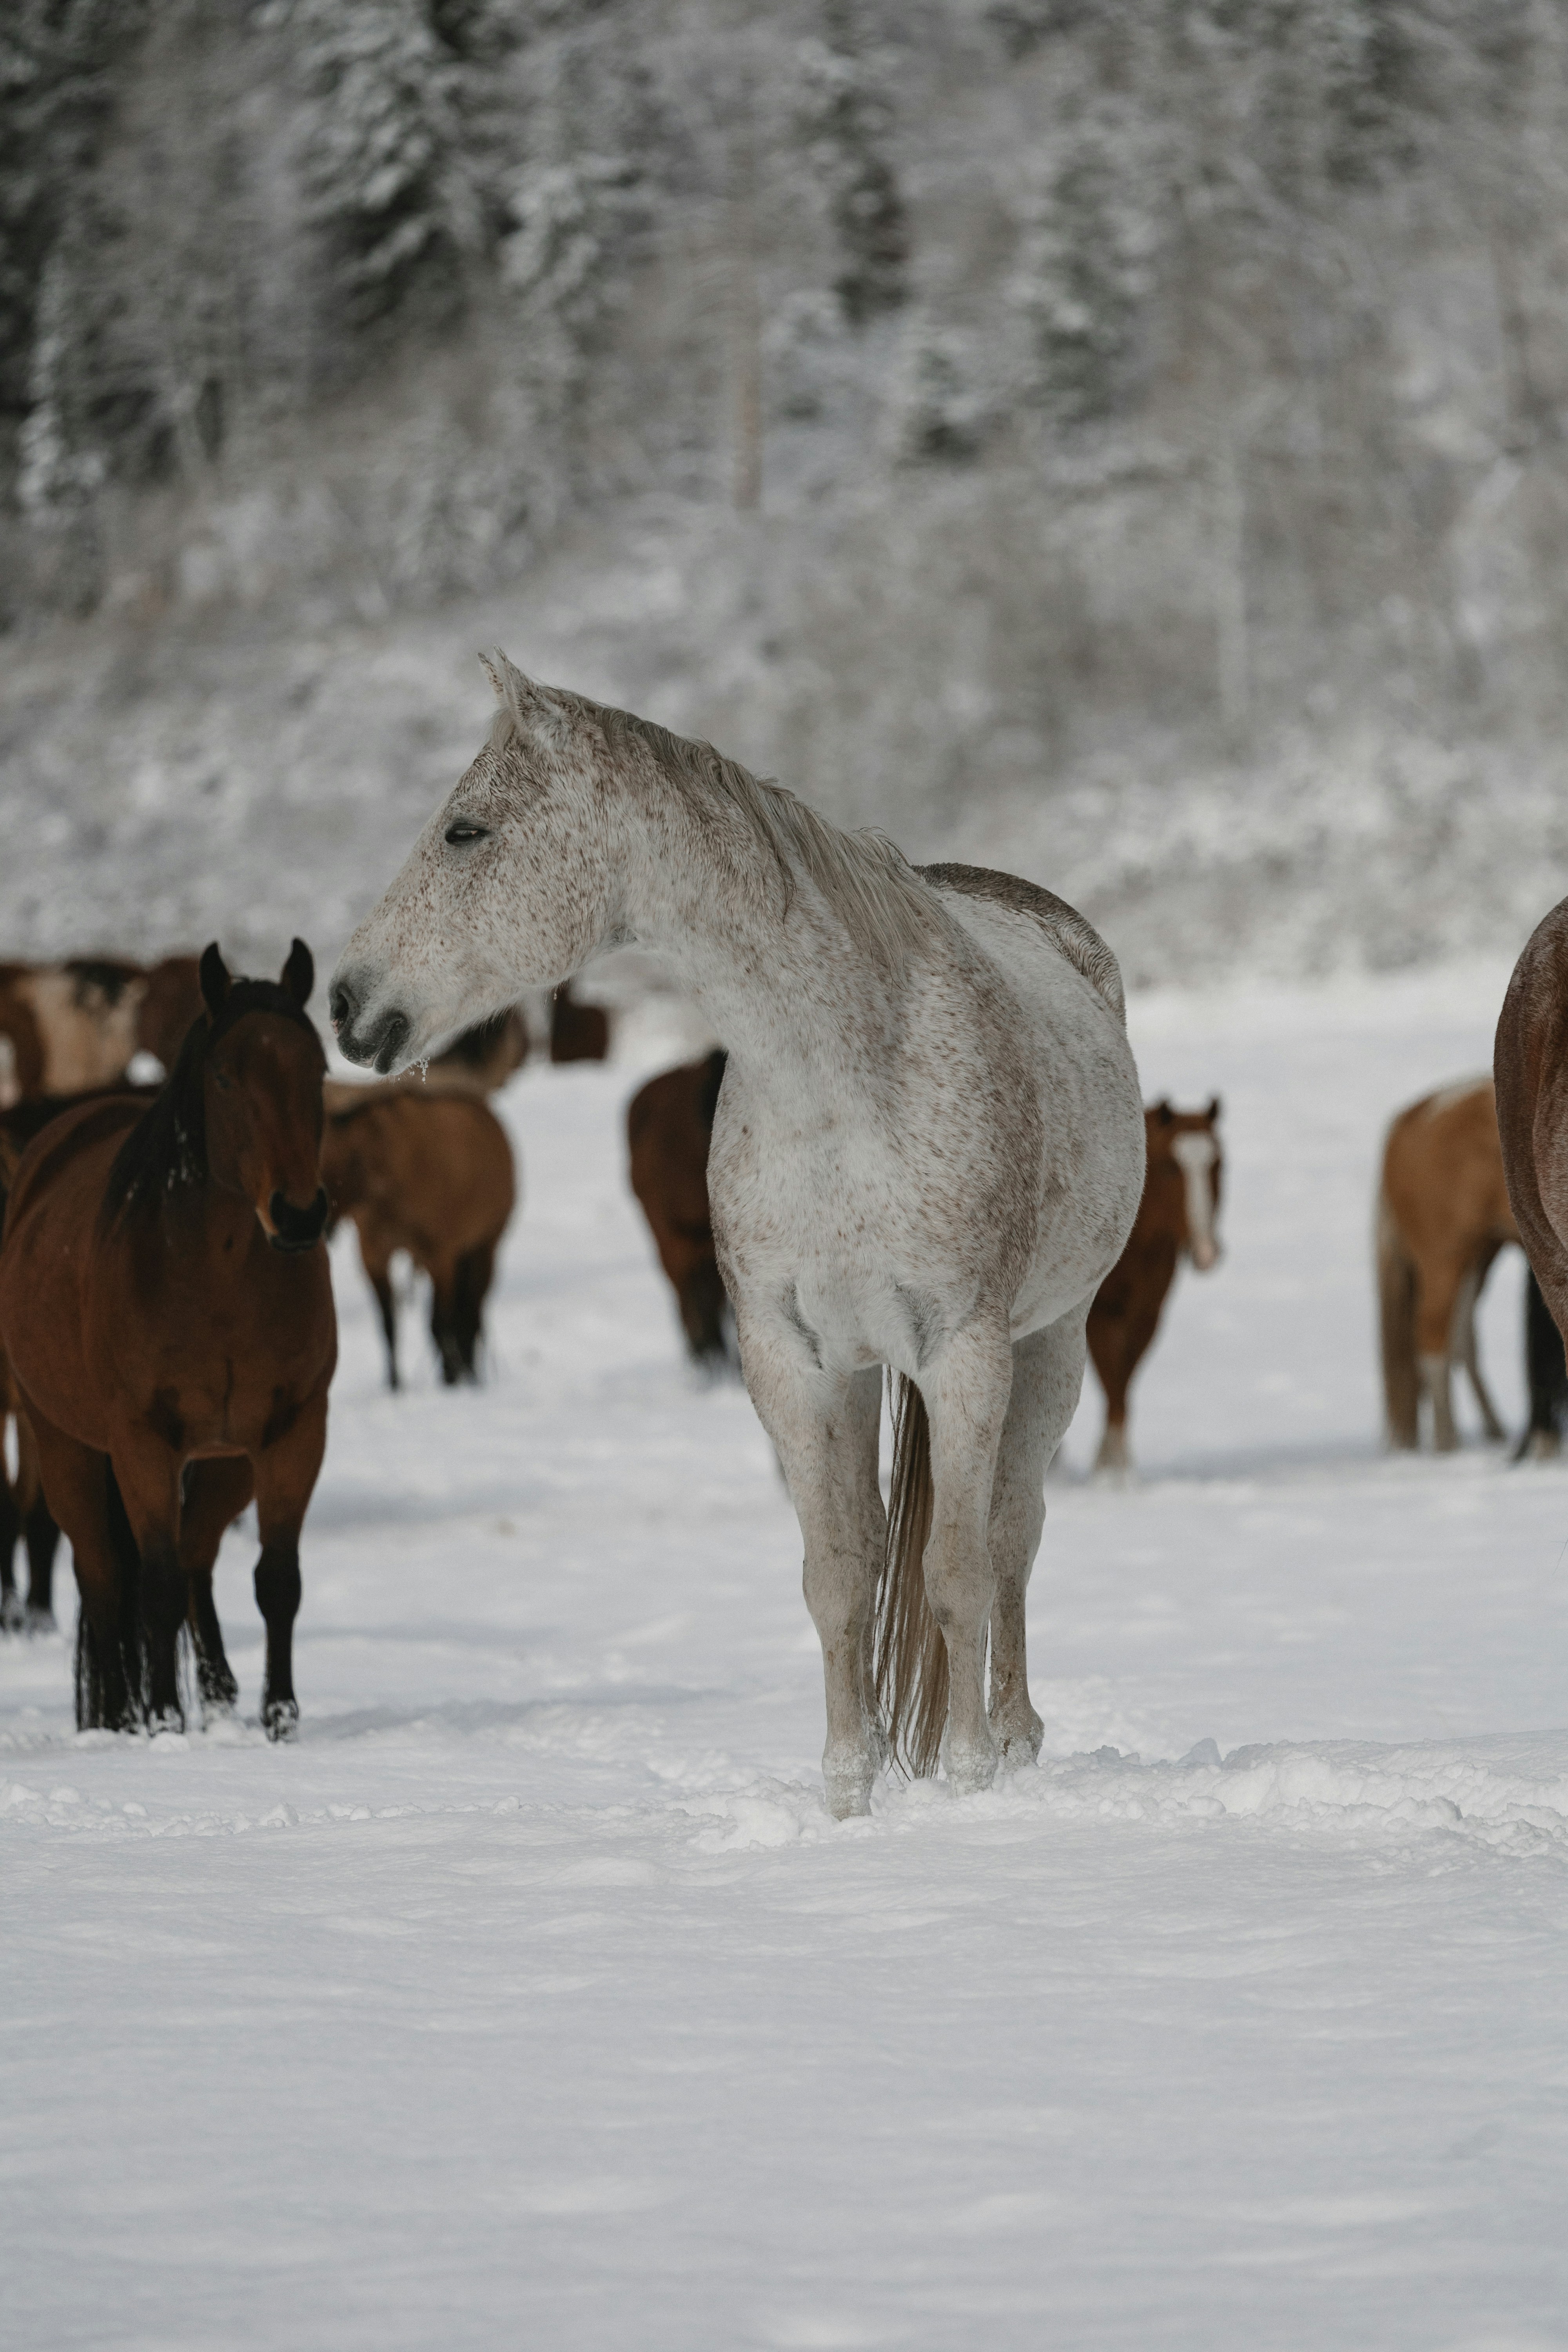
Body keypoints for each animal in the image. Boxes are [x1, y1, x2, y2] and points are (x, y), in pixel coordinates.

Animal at [0, 944, 335, 1735]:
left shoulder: (292, 1433)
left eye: (317, 1070)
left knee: (195, 1560)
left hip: (224, 1465)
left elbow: (277, 1580)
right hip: (64, 1447)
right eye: (226, 1077)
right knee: (102, 1576)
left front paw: (281, 1716)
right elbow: (147, 1585)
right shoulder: (142, 1442)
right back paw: (120, 1717)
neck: (217, 1283)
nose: (298, 1215)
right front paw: (158, 1720)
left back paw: (215, 1690)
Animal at [320, 1085, 515, 1388]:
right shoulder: (374, 1255)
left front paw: (450, 1380)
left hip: (485, 1250)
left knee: (470, 1315)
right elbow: (389, 1325)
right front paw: (395, 1385)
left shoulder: (440, 1257)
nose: (319, 1225)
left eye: (350, 1162)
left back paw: (469, 1375)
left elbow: (440, 1324)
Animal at [1086, 1097, 1222, 1472]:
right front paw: (1114, 1476)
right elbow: (1114, 1388)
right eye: (1169, 1168)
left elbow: (1122, 1389)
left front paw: (1112, 1468)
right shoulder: (1099, 1316)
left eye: (1219, 1164)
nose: (1207, 1252)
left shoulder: (1147, 1317)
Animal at [1377, 1075, 1517, 1451]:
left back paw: (1492, 1430)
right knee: (1433, 1340)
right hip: (1443, 1260)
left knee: (1461, 1339)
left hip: (1475, 1257)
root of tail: (1412, 1116)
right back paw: (1447, 1441)